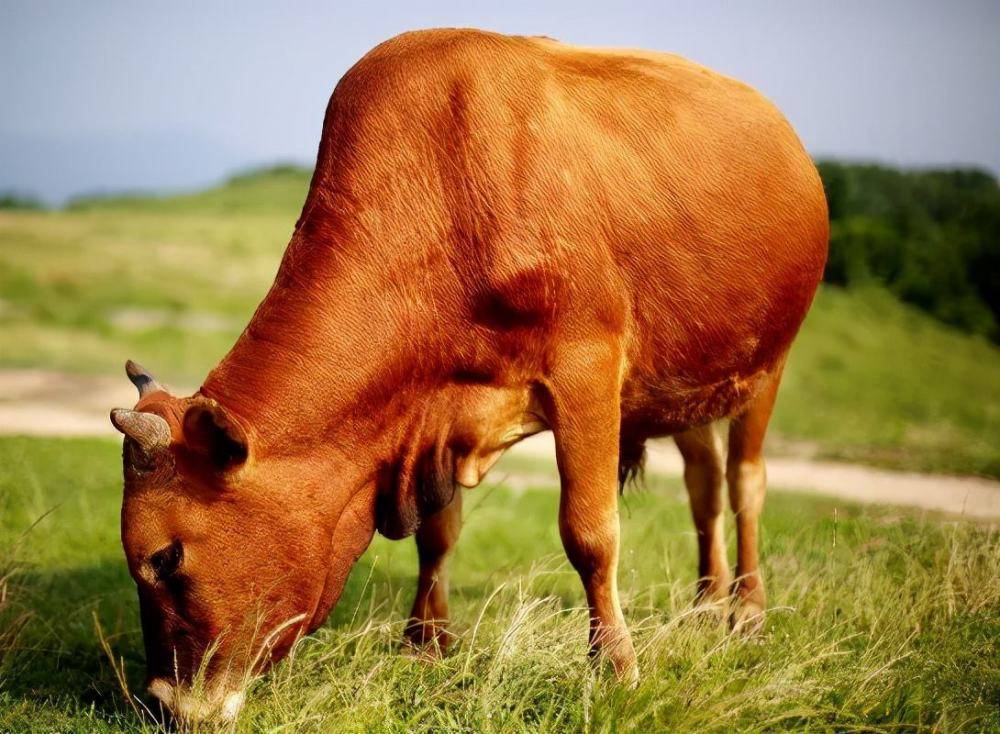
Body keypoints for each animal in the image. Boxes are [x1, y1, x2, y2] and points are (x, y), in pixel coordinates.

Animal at [109, 28, 828, 724]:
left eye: (166, 558)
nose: (164, 705)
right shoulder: (436, 414)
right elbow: (438, 534)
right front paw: (425, 644)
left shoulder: (587, 368)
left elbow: (590, 533)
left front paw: (614, 667)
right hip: (685, 385)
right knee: (704, 486)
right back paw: (705, 605)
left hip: (768, 364)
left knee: (744, 483)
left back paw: (745, 611)